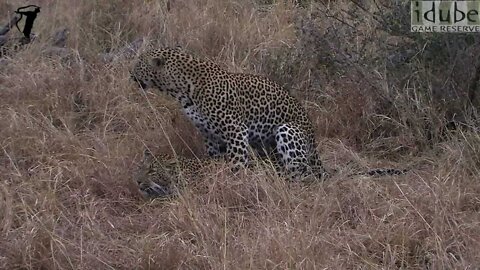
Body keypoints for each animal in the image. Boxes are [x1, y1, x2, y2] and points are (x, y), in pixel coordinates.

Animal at [129, 47, 328, 180]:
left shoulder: (235, 131)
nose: (130, 74)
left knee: (301, 172)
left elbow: (237, 162)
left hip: (287, 130)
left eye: (139, 64)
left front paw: (237, 184)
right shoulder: (209, 134)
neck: (181, 90)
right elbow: (215, 158)